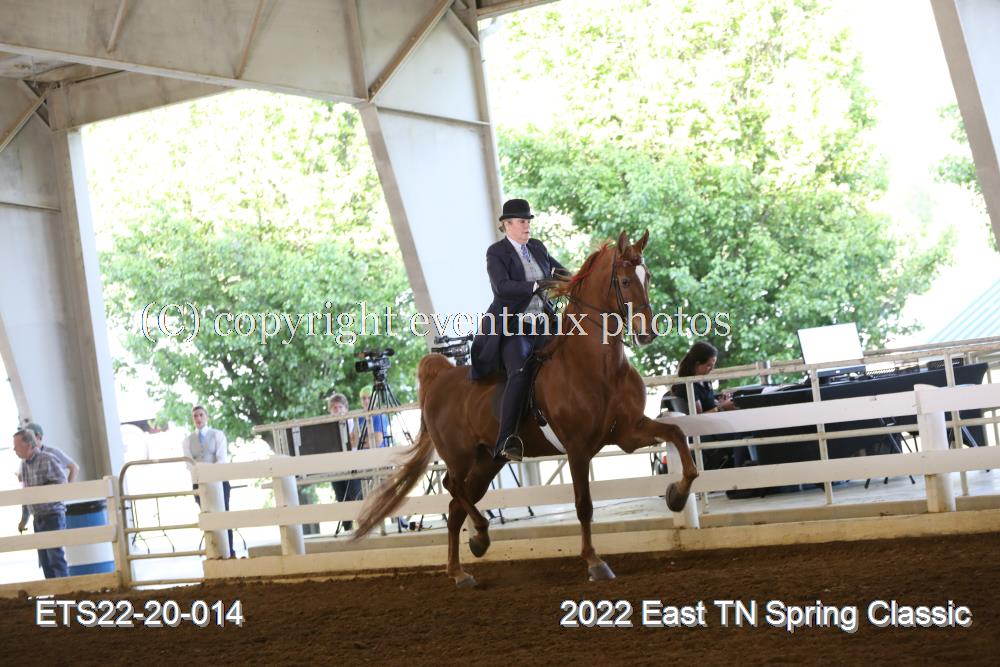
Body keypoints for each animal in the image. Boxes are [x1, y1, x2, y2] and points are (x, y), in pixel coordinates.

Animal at [354, 231, 698, 586]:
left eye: (649, 277)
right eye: (626, 280)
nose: (647, 333)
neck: (596, 366)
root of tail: (442, 377)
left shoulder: (628, 432)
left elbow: (677, 434)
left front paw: (676, 495)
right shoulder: (577, 449)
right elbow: (584, 504)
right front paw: (594, 561)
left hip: (487, 462)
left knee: (455, 507)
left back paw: (461, 567)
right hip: (460, 457)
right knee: (453, 487)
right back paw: (480, 535)